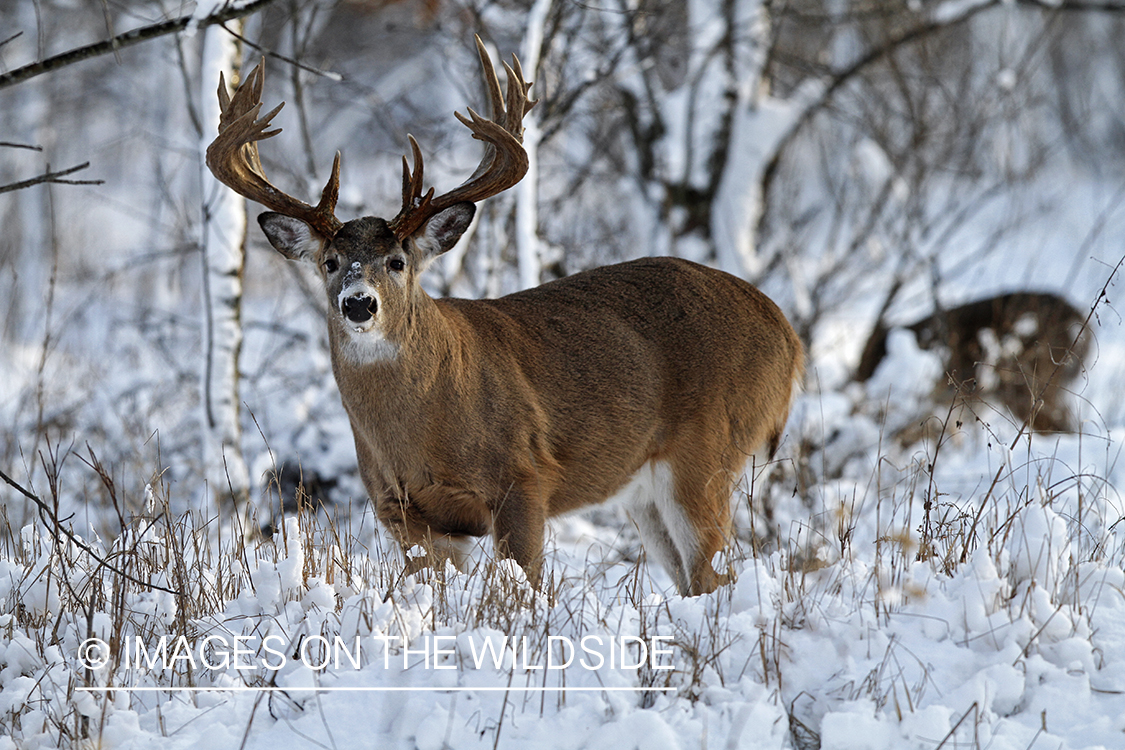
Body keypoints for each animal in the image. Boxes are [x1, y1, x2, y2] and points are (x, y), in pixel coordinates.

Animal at [207, 38, 805, 593]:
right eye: (329, 262)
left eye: (397, 261)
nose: (358, 302)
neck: (422, 429)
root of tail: (788, 335)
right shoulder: (402, 511)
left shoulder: (524, 476)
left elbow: (528, 585)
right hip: (646, 490)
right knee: (690, 580)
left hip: (710, 451)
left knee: (714, 574)